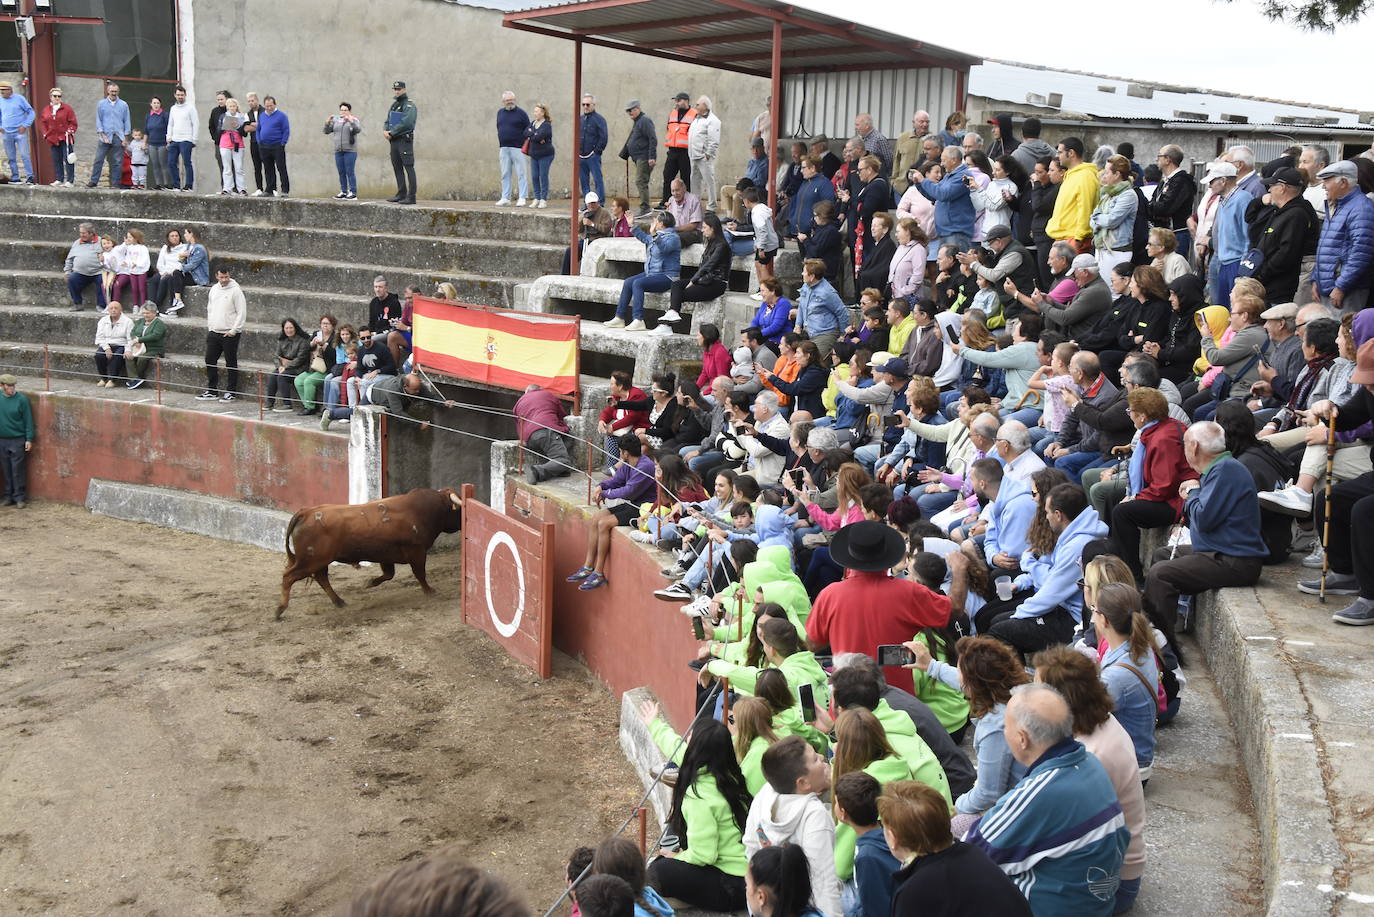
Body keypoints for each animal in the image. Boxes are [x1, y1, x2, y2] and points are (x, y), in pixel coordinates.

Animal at [276, 486, 464, 615]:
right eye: (459, 511)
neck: (424, 510)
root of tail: (306, 512)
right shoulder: (417, 551)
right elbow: (420, 574)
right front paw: (429, 591)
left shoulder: (386, 556)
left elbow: (389, 574)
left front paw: (369, 582)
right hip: (311, 560)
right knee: (289, 577)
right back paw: (280, 609)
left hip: (319, 561)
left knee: (321, 578)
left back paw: (339, 601)